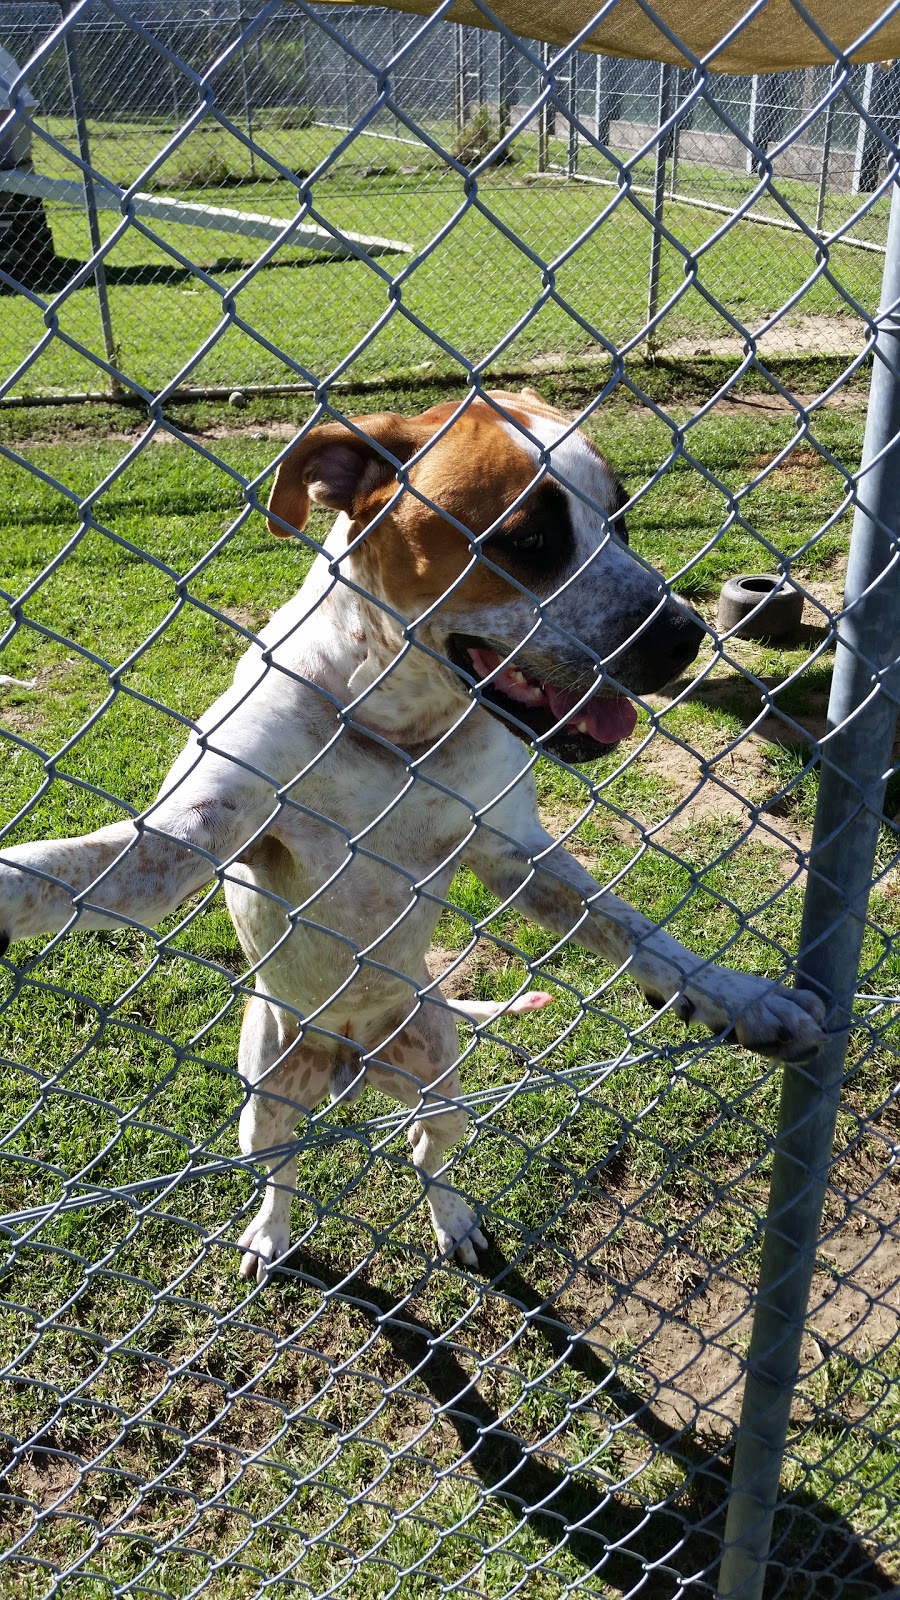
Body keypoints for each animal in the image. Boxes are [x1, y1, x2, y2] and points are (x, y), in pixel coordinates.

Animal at [0, 393, 826, 1280]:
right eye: (528, 539)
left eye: (623, 518)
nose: (684, 635)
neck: (399, 725)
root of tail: (349, 1060)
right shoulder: (192, 834)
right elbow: (66, 867)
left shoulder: (515, 851)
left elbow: (636, 930)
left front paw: (741, 998)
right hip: (265, 1096)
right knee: (282, 1169)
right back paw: (269, 1234)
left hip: (438, 1073)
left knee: (427, 1153)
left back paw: (453, 1220)